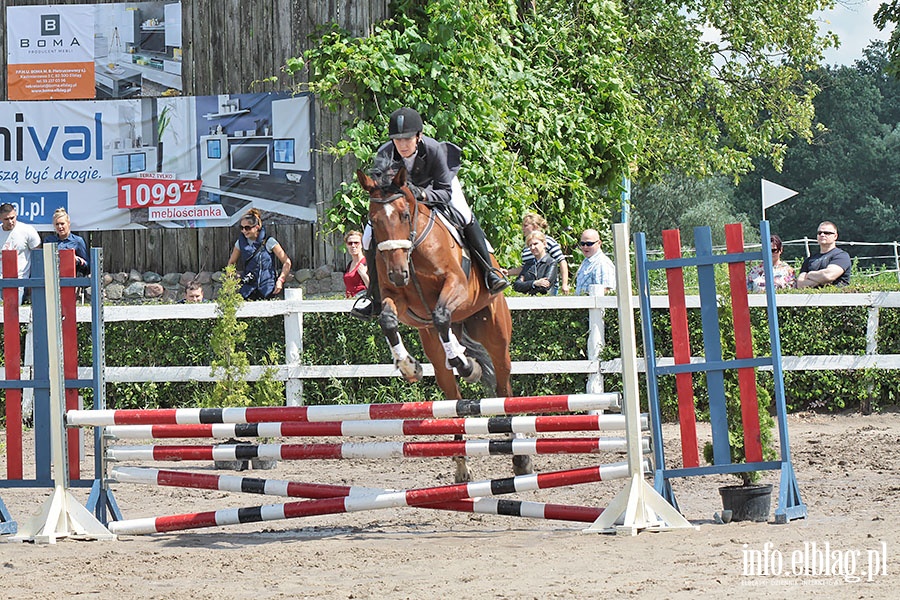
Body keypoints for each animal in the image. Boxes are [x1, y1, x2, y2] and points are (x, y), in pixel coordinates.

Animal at [356, 165, 532, 482]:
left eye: (404, 215)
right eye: (372, 221)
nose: (398, 273)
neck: (413, 250)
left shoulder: (456, 285)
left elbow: (440, 315)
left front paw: (466, 365)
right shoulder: (395, 297)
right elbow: (388, 320)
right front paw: (408, 367)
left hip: (496, 336)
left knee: (504, 390)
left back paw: (520, 458)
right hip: (437, 353)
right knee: (454, 401)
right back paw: (462, 467)